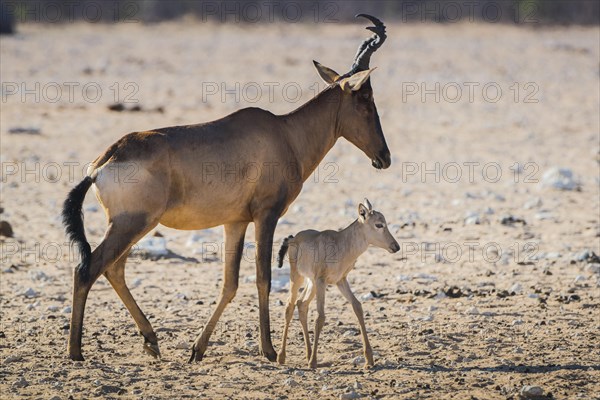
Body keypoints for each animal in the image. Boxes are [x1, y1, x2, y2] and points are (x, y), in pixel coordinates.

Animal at [276, 199, 398, 368]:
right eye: (379, 224)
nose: (396, 246)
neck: (340, 243)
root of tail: (293, 239)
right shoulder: (322, 281)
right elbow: (320, 317)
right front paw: (313, 362)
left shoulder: (340, 281)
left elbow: (357, 306)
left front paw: (370, 359)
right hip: (298, 277)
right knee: (290, 306)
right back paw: (282, 356)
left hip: (311, 282)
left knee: (302, 304)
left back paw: (307, 353)